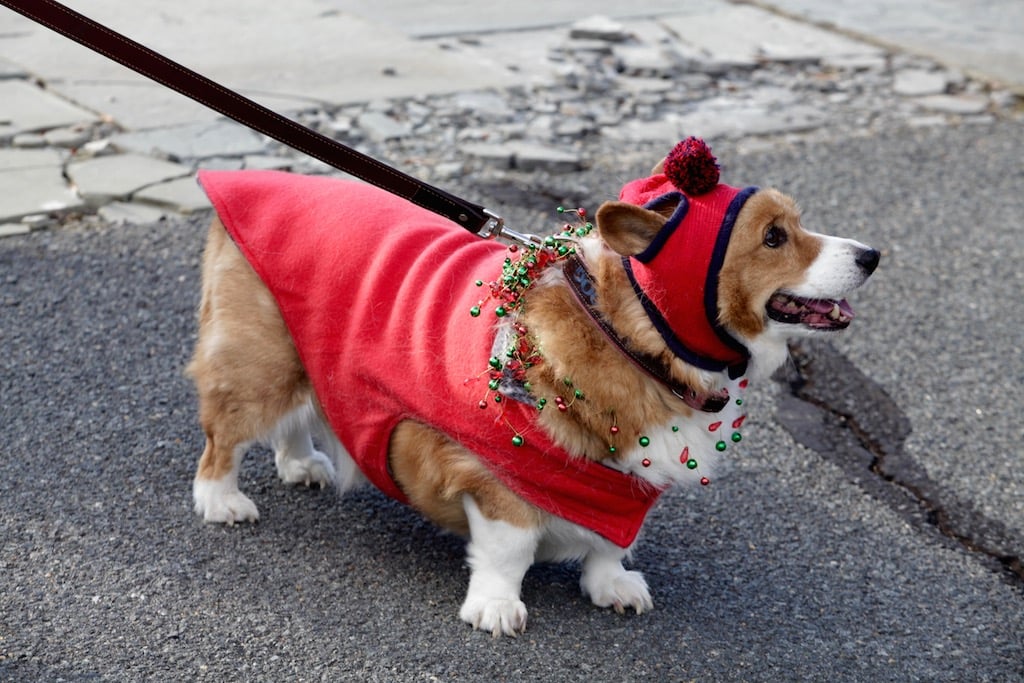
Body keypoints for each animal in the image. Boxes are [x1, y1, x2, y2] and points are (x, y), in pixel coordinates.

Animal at [188, 137, 876, 634]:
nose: (872, 256)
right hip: (261, 365)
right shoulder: (495, 477)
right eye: (773, 237)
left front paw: (611, 583)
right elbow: (509, 550)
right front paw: (496, 607)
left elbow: (613, 540)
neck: (630, 339)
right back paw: (222, 502)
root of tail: (255, 179)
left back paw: (300, 462)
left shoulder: (621, 489)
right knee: (224, 438)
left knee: (300, 416)